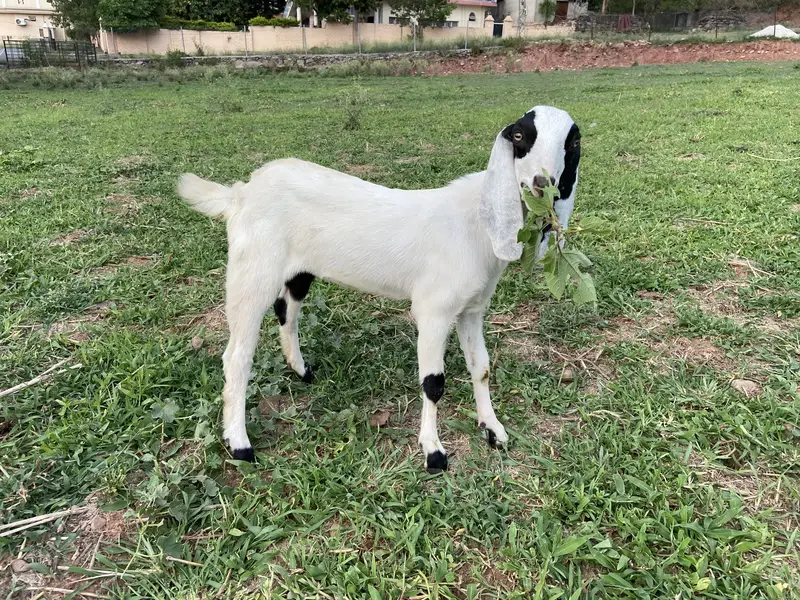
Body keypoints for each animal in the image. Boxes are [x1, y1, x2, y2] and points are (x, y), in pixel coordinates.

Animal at [178, 106, 581, 472]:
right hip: (252, 269)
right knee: (237, 355)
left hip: (298, 269)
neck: (477, 220)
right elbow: (433, 383)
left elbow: (480, 368)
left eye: (573, 141)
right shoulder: (433, 310)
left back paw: (302, 371)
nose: (542, 184)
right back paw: (240, 444)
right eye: (519, 136)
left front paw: (493, 430)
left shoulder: (471, 308)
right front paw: (434, 452)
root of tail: (239, 194)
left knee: (286, 310)